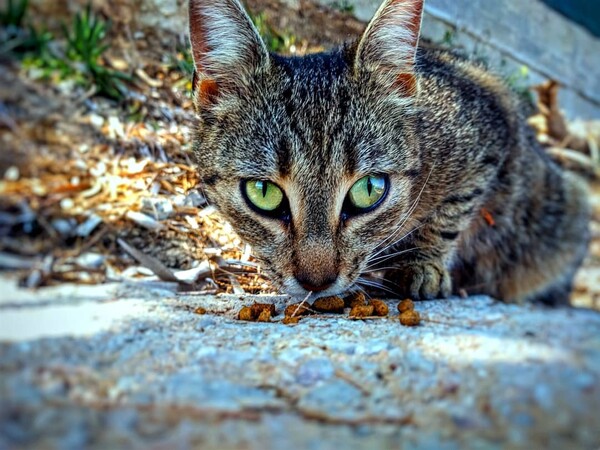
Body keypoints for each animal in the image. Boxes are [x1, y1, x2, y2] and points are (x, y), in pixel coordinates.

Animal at [188, 0, 592, 306]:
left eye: (369, 190)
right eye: (264, 193)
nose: (316, 282)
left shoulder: (488, 134)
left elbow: (451, 212)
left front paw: (422, 265)